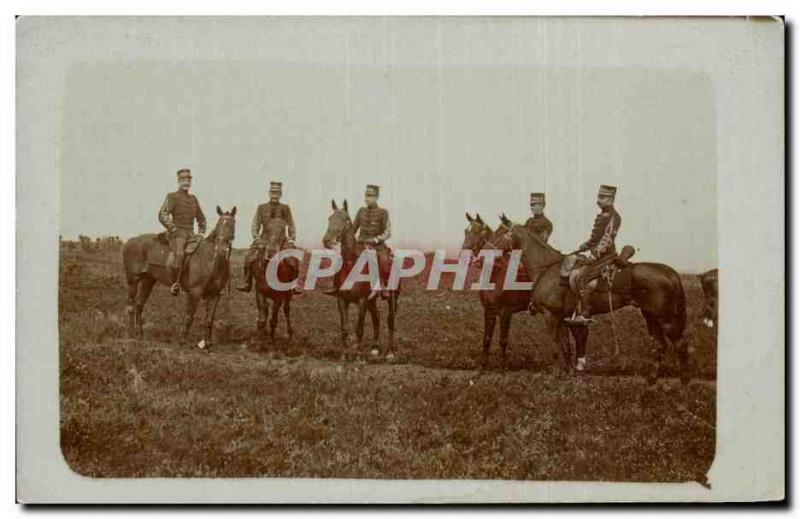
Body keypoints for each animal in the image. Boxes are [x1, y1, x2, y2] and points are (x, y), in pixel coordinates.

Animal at [120, 205, 236, 348]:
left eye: (232, 224)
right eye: (219, 224)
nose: (220, 250)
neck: (212, 260)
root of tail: (129, 242)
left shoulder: (215, 295)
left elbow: (209, 319)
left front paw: (208, 344)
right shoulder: (194, 292)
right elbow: (189, 317)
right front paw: (182, 341)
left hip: (148, 281)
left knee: (139, 305)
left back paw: (140, 335)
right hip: (133, 280)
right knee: (130, 306)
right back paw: (132, 334)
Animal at [253, 218, 296, 346]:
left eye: (283, 231)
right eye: (266, 229)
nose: (271, 253)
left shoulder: (279, 297)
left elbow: (274, 319)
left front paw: (271, 340)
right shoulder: (259, 292)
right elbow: (262, 318)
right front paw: (259, 341)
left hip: (288, 295)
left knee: (286, 310)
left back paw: (289, 334)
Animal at [322, 200, 400, 358]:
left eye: (345, 219)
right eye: (330, 218)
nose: (327, 241)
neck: (352, 265)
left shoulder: (362, 301)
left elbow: (359, 328)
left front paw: (358, 356)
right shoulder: (342, 300)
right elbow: (345, 327)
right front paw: (344, 355)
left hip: (392, 298)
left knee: (390, 320)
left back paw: (390, 352)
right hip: (372, 301)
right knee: (377, 318)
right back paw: (375, 348)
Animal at [462, 213, 536, 368]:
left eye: (478, 232)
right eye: (466, 231)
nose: (464, 256)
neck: (496, 274)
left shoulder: (505, 312)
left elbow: (503, 339)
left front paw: (503, 364)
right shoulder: (489, 310)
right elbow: (487, 337)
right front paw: (483, 363)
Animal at [506, 216, 688, 386]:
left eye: (501, 232)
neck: (547, 269)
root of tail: (671, 273)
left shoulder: (550, 315)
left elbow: (555, 346)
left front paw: (556, 374)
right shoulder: (561, 317)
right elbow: (565, 346)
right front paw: (569, 373)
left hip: (666, 319)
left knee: (680, 345)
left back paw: (684, 382)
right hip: (650, 316)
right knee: (660, 344)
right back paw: (651, 379)